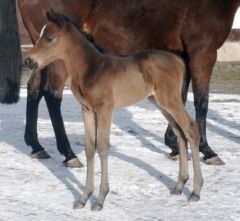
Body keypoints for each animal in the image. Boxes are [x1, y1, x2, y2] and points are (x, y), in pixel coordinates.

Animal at [14, 0, 239, 166]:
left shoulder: (183, 54)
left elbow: (180, 99)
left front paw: (174, 144)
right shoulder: (202, 52)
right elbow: (201, 101)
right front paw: (207, 150)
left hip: (41, 58)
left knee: (34, 91)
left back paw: (36, 146)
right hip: (57, 58)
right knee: (52, 95)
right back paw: (69, 154)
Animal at [25, 11, 203, 211]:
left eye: (49, 38)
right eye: (40, 35)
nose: (29, 61)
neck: (91, 69)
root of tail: (178, 60)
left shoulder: (105, 110)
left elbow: (103, 147)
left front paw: (100, 200)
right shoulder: (87, 110)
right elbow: (89, 148)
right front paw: (83, 198)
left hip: (170, 101)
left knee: (190, 129)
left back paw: (196, 191)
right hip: (161, 104)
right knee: (180, 133)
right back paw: (179, 186)